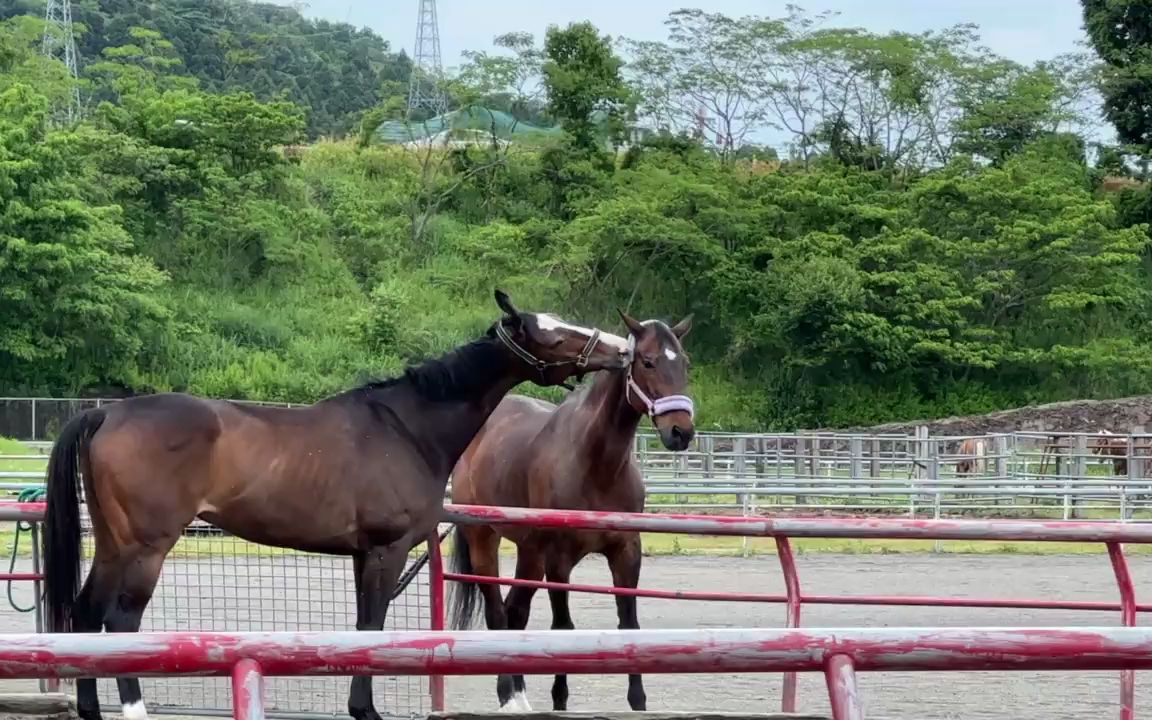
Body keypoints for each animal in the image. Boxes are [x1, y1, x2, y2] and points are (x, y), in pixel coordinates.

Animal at [40, 289, 631, 718]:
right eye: (552, 333)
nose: (622, 349)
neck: (407, 427)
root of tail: (105, 413)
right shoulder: (387, 549)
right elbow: (371, 630)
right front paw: (364, 710)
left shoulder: (360, 554)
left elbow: (360, 628)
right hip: (146, 548)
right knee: (120, 623)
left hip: (113, 544)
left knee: (86, 616)